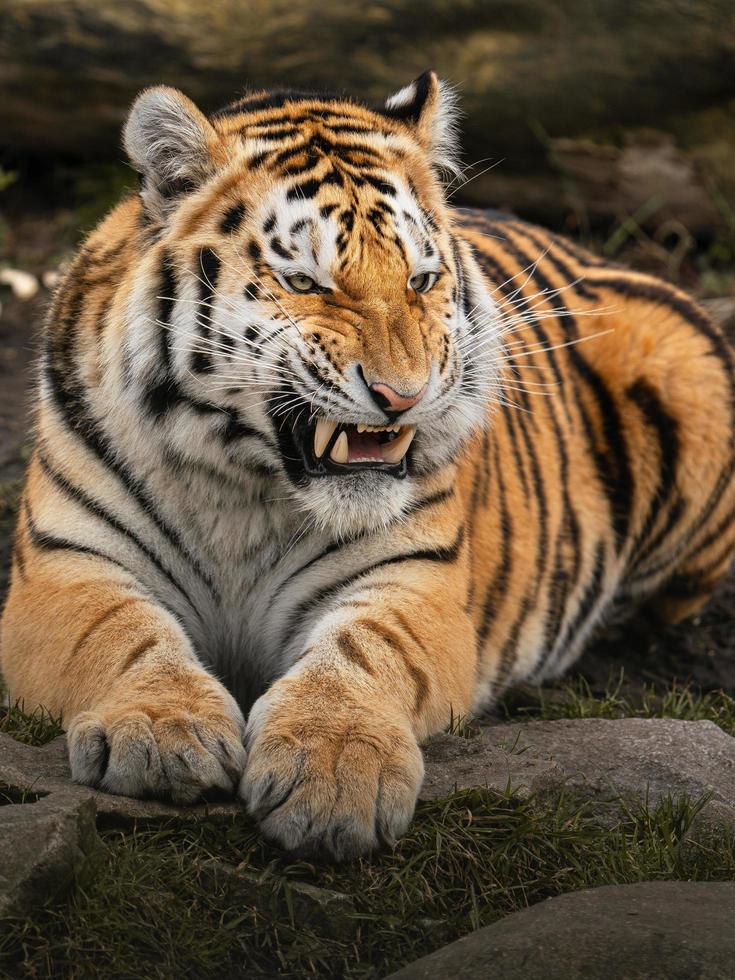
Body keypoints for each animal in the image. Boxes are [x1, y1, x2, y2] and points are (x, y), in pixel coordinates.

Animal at [1, 72, 735, 856]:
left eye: (420, 279)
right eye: (306, 282)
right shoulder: (64, 565)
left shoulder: (413, 580)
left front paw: (332, 771)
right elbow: (118, 634)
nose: (402, 395)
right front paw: (162, 731)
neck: (244, 488)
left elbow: (363, 652)